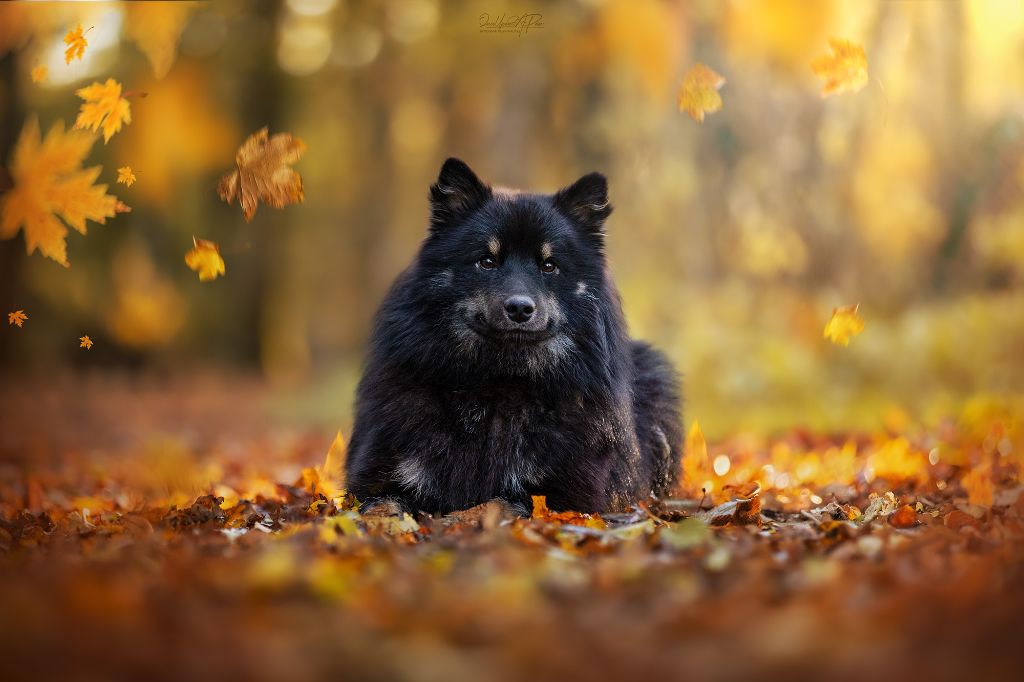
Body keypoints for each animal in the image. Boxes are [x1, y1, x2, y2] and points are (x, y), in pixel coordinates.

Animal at [348, 157, 684, 509]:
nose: (520, 308)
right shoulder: (382, 478)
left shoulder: (564, 494)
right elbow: (384, 505)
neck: (500, 381)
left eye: (549, 266)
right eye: (487, 261)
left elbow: (503, 504)